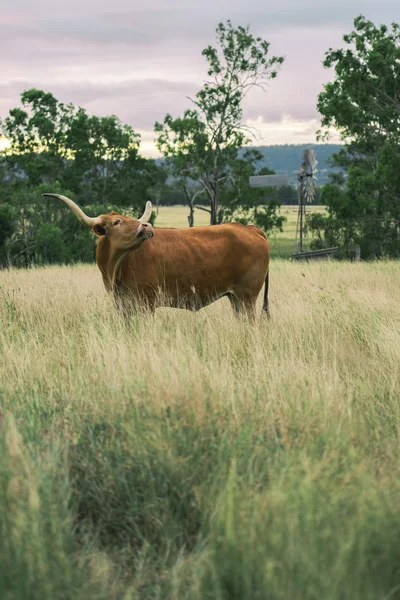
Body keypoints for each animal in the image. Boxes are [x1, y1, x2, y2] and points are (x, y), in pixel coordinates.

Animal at [42, 195, 270, 318]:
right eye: (116, 222)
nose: (146, 225)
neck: (116, 268)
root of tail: (251, 228)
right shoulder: (124, 306)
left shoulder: (146, 304)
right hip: (236, 299)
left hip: (247, 297)